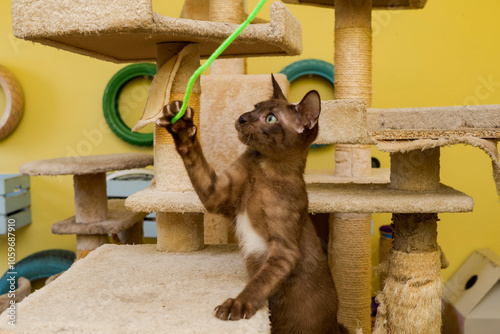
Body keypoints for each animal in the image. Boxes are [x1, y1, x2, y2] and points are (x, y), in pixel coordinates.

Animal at [157, 75, 344, 334]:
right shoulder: (215, 195)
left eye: (271, 118)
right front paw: (181, 126)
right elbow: (193, 155)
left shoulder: (284, 251)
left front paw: (236, 305)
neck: (264, 169)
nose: (243, 117)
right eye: (255, 107)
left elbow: (258, 283)